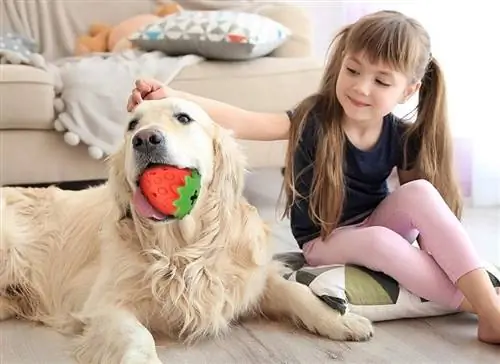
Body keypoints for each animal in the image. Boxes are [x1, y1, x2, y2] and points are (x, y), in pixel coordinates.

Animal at [0, 97, 372, 364]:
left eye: (183, 118)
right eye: (132, 124)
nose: (145, 139)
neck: (180, 248)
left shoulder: (248, 278)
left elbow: (294, 292)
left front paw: (340, 320)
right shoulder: (102, 304)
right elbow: (139, 338)